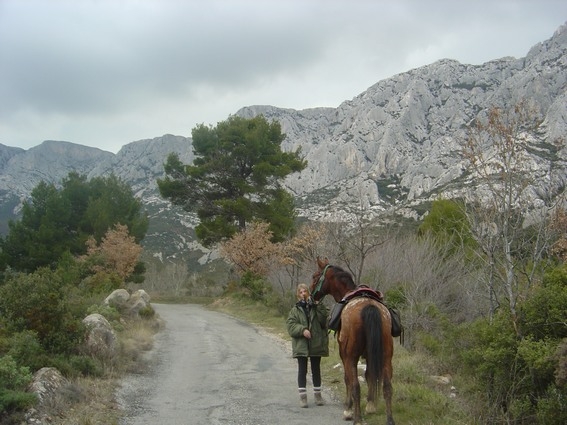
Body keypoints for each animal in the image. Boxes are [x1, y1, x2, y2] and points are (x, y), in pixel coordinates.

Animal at [310, 255, 394, 424]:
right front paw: (371, 406)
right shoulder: (369, 355)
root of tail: (369, 307)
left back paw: (357, 418)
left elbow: (348, 379)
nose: (310, 294)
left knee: (355, 385)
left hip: (351, 356)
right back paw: (389, 420)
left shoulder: (344, 354)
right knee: (387, 386)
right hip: (386, 356)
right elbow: (369, 376)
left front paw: (348, 409)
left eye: (315, 276)